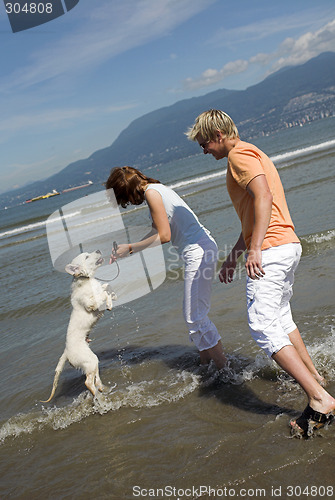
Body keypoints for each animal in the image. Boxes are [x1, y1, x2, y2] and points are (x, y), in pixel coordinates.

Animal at [42, 250, 117, 402]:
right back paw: (98, 395)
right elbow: (103, 294)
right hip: (90, 360)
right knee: (88, 382)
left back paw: (102, 389)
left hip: (92, 362)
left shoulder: (99, 288)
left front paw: (113, 296)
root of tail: (66, 352)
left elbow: (106, 286)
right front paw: (109, 303)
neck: (87, 280)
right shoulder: (91, 303)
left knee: (95, 380)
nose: (98, 250)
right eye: (87, 256)